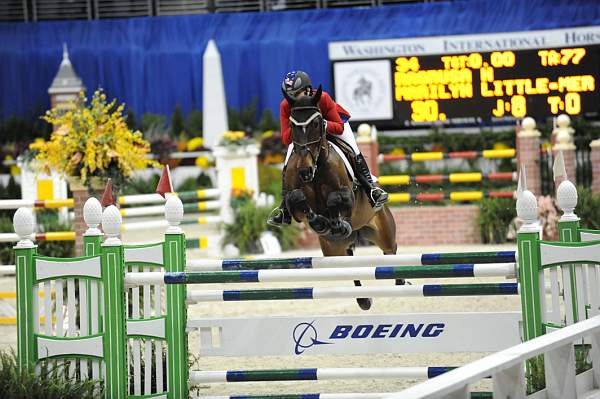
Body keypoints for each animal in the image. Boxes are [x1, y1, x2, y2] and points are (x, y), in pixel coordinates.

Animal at [284, 86, 400, 310]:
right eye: (293, 125)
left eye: (317, 123)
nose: (304, 171)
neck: (317, 166)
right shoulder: (296, 206)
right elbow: (297, 199)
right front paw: (321, 223)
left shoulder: (348, 197)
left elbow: (335, 200)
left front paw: (336, 222)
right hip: (333, 250)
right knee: (347, 265)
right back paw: (363, 300)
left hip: (384, 233)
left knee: (391, 250)